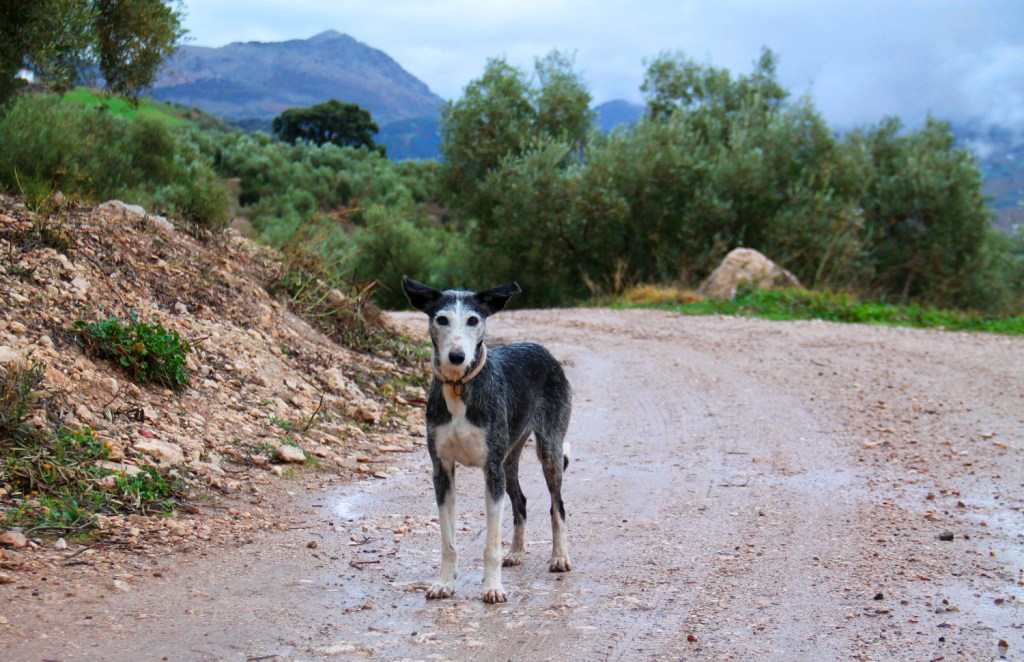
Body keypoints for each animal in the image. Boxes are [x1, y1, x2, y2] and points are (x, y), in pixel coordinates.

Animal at [402, 276, 573, 604]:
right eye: (441, 319)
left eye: (473, 320)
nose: (457, 356)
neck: (459, 387)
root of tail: (543, 351)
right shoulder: (442, 470)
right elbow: (448, 541)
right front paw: (445, 583)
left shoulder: (491, 471)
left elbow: (491, 543)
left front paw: (493, 587)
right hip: (509, 456)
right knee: (521, 501)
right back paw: (516, 552)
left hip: (549, 449)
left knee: (557, 504)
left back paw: (559, 556)